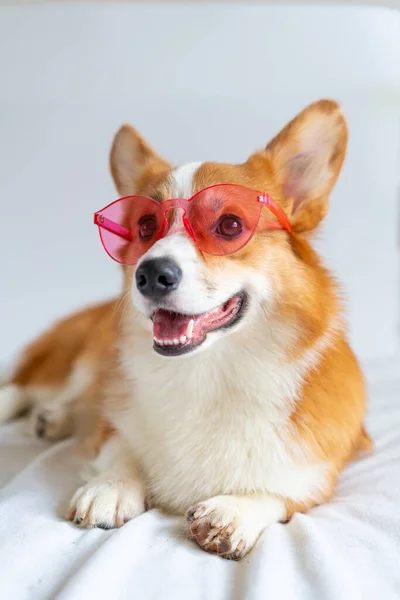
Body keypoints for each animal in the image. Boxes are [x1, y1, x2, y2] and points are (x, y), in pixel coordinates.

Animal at [2, 99, 372, 564]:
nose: (150, 275)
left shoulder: (321, 469)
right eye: (145, 227)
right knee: (28, 387)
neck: (209, 372)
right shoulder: (116, 422)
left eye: (230, 225)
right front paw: (112, 486)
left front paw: (236, 510)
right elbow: (120, 444)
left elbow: (283, 492)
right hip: (77, 356)